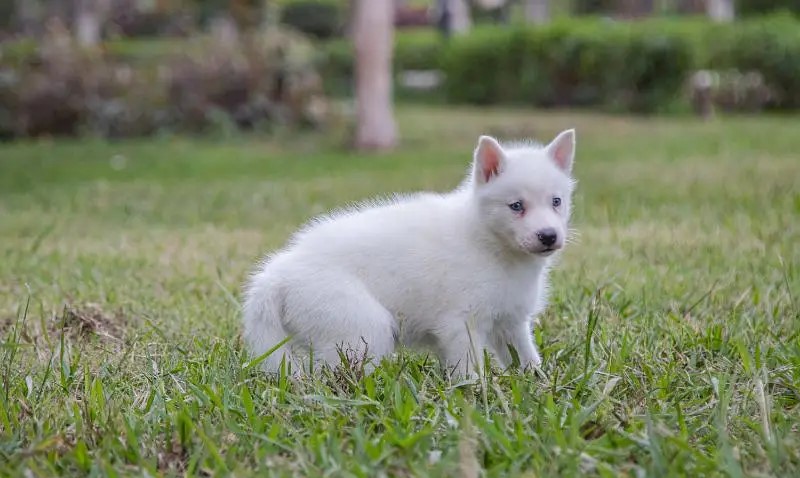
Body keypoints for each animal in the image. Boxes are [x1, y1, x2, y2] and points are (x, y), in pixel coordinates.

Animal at [241, 130, 580, 378]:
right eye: (516, 206)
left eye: (557, 201)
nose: (548, 236)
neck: (488, 241)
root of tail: (277, 273)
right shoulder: (460, 325)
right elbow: (469, 372)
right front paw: (475, 398)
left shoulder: (510, 323)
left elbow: (526, 357)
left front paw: (540, 384)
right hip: (362, 328)